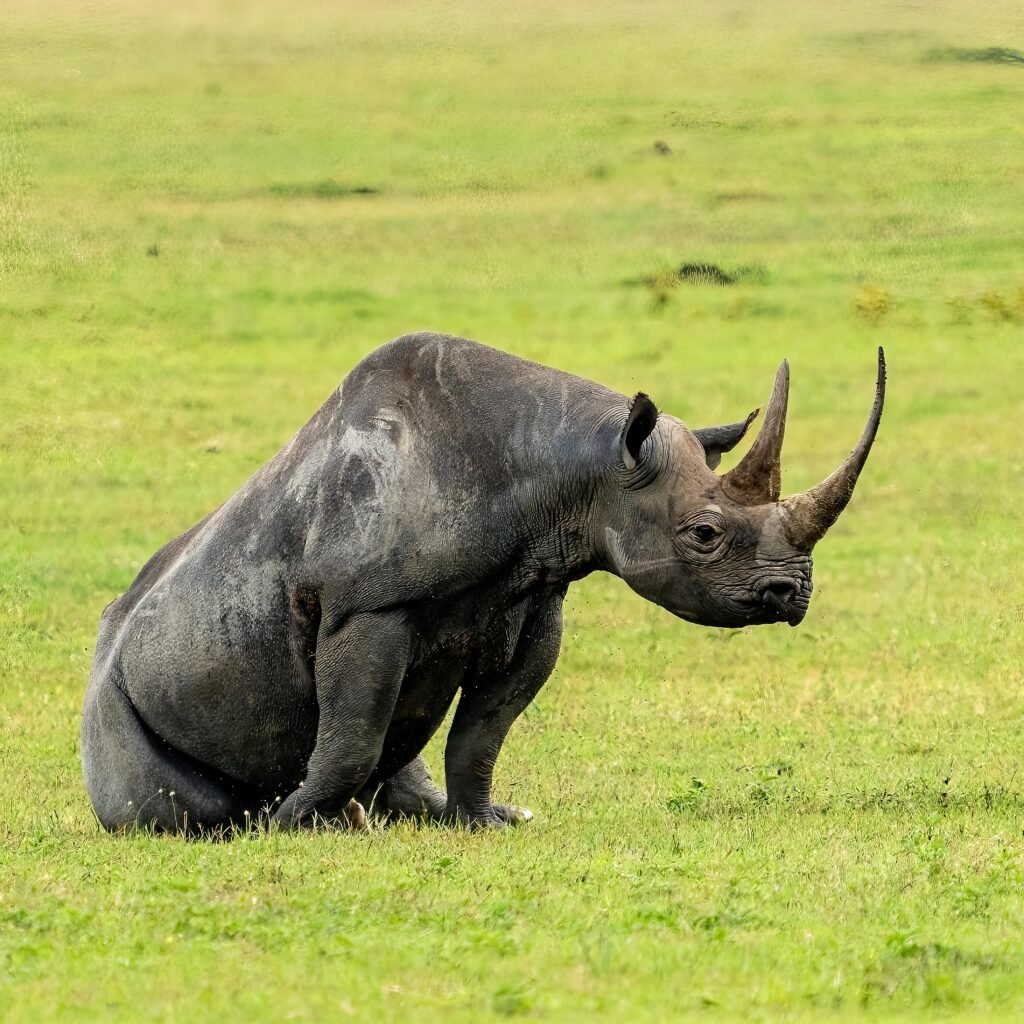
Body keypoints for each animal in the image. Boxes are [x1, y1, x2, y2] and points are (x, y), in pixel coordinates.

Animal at [81, 333, 885, 834]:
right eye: (705, 535)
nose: (790, 595)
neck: (581, 470)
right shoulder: (368, 608)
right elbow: (354, 730)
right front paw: (301, 824)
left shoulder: (535, 601)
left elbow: (483, 732)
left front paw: (487, 821)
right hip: (117, 692)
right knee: (170, 803)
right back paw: (266, 819)